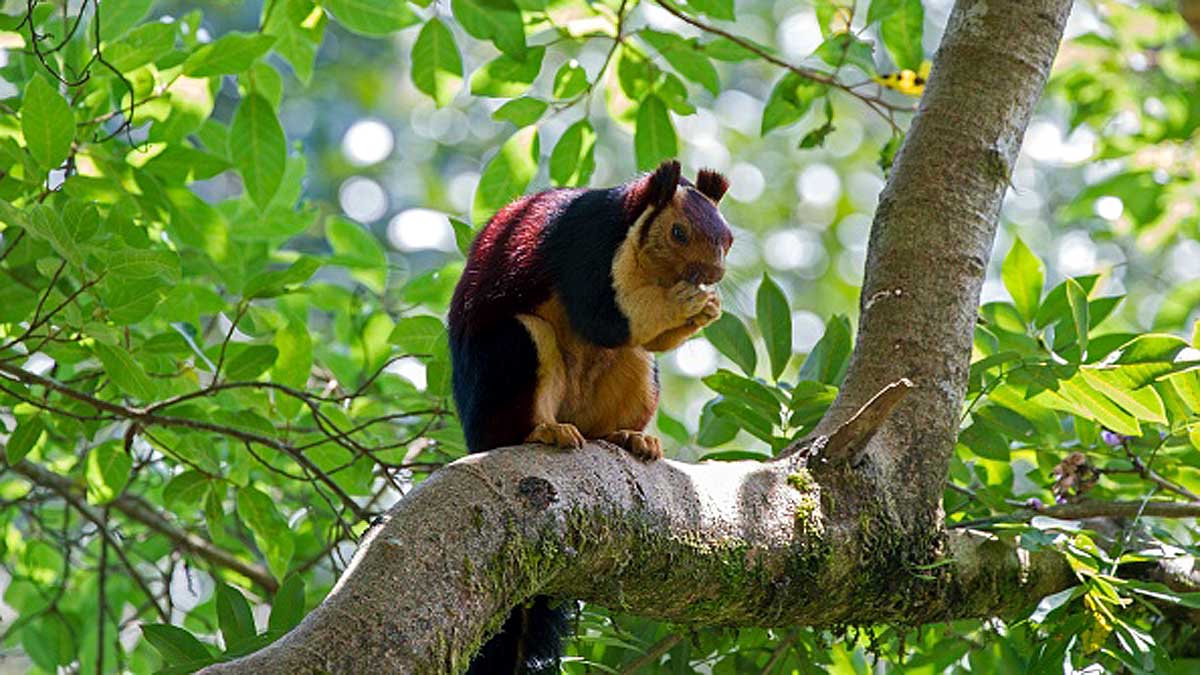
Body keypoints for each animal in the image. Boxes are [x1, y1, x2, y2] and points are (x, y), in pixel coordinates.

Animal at [448, 159, 732, 674]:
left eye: (728, 237)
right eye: (678, 232)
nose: (713, 273)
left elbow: (646, 336)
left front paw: (708, 306)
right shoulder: (583, 246)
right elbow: (603, 319)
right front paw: (687, 303)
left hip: (634, 374)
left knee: (633, 362)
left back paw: (630, 438)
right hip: (515, 352)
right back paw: (547, 430)